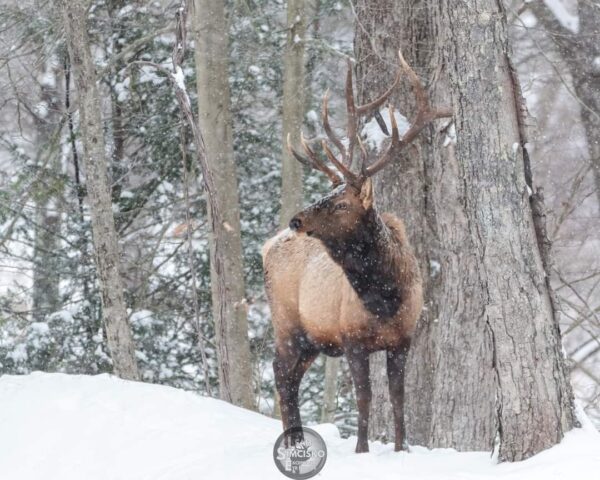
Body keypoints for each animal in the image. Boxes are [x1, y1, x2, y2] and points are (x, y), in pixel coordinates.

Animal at [262, 52, 450, 454]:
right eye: (327, 194)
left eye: (341, 203)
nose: (296, 219)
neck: (385, 299)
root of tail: (266, 246)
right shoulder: (351, 339)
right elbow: (364, 398)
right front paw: (362, 450)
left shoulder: (403, 340)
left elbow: (397, 398)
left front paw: (401, 448)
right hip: (287, 323)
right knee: (280, 373)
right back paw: (292, 442)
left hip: (311, 340)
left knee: (290, 376)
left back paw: (296, 439)